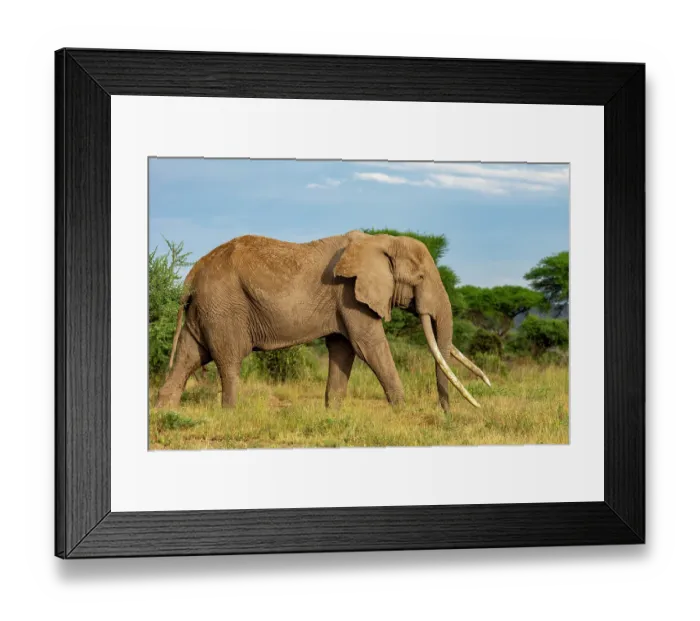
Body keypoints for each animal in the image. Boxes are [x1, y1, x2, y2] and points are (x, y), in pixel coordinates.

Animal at [156, 230, 491, 412]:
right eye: (420, 278)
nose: (445, 414)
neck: (381, 242)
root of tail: (191, 274)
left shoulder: (344, 300)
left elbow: (343, 350)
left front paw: (334, 415)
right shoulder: (350, 295)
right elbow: (369, 345)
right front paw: (402, 412)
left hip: (206, 308)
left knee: (188, 356)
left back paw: (164, 411)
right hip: (224, 306)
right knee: (229, 360)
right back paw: (231, 414)